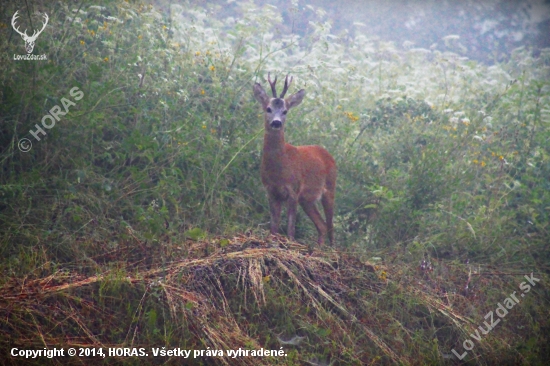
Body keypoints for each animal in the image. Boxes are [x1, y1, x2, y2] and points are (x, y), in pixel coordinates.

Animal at [253, 74, 336, 246]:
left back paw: (332, 249)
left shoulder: (294, 190)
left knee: (330, 225)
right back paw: (319, 248)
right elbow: (274, 226)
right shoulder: (271, 191)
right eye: (268, 108)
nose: (276, 122)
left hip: (330, 188)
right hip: (307, 200)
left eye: (285, 111)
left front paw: (289, 243)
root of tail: (327, 153)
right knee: (322, 225)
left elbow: (291, 228)